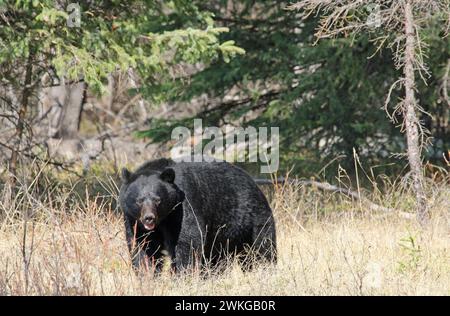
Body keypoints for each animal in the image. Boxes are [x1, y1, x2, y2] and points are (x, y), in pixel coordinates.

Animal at [118, 159, 276, 272]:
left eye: (158, 199)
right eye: (139, 200)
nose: (149, 218)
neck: (162, 219)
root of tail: (254, 183)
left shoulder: (182, 209)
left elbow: (186, 242)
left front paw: (181, 274)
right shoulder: (134, 221)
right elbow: (141, 246)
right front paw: (146, 275)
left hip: (253, 219)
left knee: (263, 247)